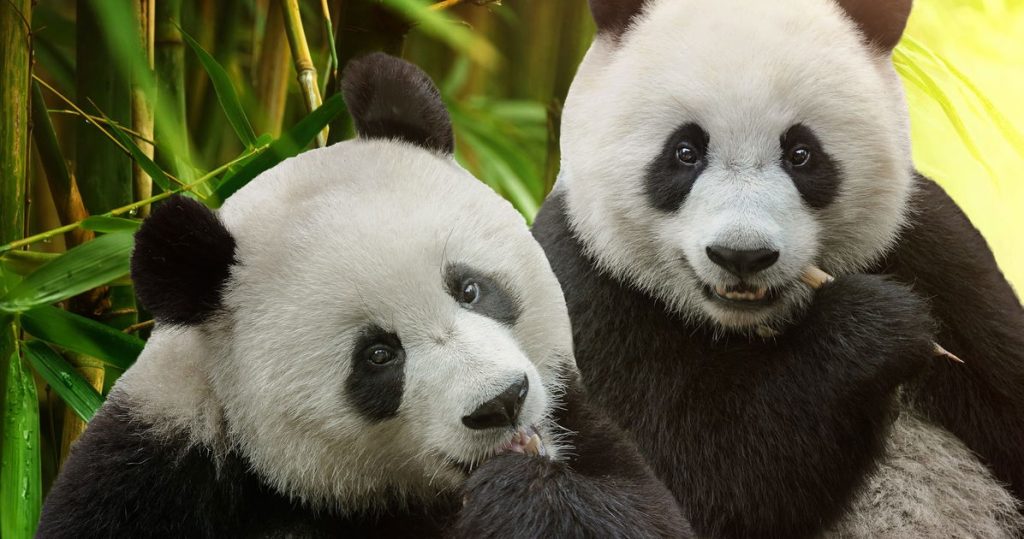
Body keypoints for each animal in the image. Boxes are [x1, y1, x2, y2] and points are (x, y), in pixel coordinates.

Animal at [37, 53, 688, 538]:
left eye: (471, 289)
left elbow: (644, 514)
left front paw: (524, 499)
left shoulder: (576, 423)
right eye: (378, 355)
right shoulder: (150, 475)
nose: (500, 403)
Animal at [531, 0, 1024, 537]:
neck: (750, 326)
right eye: (685, 152)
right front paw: (874, 324)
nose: (741, 256)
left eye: (801, 153)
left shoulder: (937, 254)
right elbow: (694, 481)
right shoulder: (585, 296)